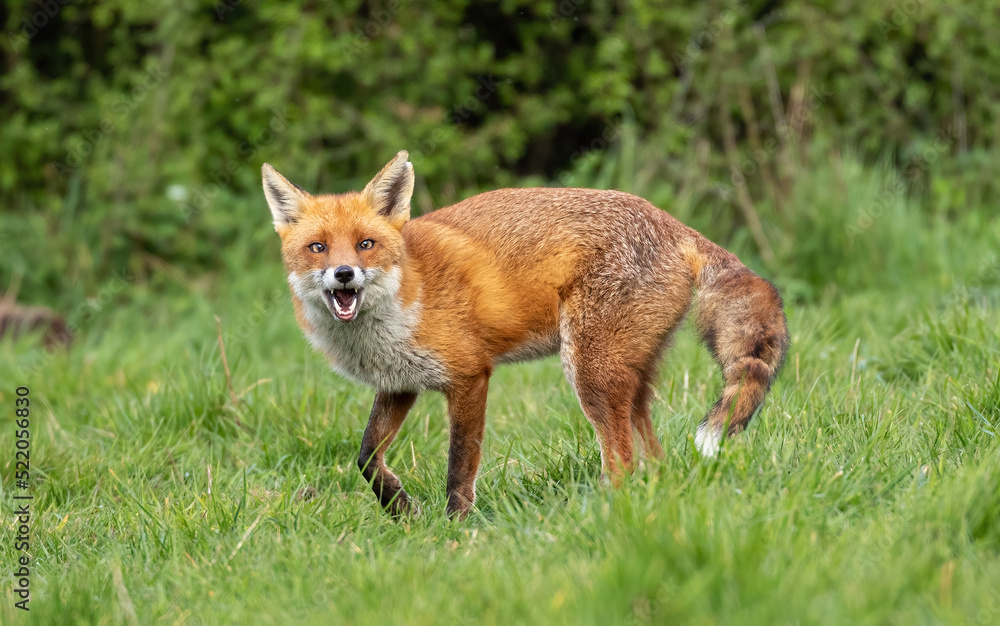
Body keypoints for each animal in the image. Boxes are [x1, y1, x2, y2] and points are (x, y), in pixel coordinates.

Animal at [261, 150, 789, 519]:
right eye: (318, 248)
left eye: (366, 244)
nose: (344, 274)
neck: (402, 299)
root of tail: (674, 223)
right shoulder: (399, 383)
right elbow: (367, 458)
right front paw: (400, 509)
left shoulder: (470, 377)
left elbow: (459, 466)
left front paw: (455, 531)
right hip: (629, 378)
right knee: (653, 459)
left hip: (591, 374)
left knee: (622, 461)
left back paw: (596, 518)